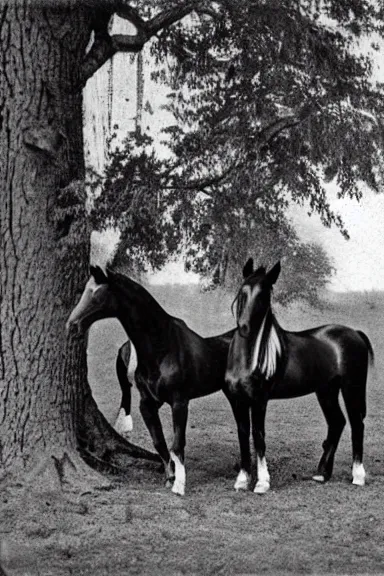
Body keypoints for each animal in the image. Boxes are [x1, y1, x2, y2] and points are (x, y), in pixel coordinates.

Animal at [66, 266, 237, 496]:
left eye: (97, 294)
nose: (71, 325)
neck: (162, 347)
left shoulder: (179, 403)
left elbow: (177, 444)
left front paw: (179, 484)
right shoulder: (147, 403)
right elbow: (159, 442)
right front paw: (170, 477)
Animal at [226, 258, 374, 492]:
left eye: (264, 295)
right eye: (243, 291)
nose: (244, 327)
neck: (248, 359)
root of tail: (355, 333)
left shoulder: (259, 401)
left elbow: (258, 437)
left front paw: (262, 483)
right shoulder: (237, 401)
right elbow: (243, 435)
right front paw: (242, 480)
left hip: (351, 388)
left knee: (356, 424)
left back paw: (358, 476)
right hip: (327, 391)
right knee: (337, 422)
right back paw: (322, 474)